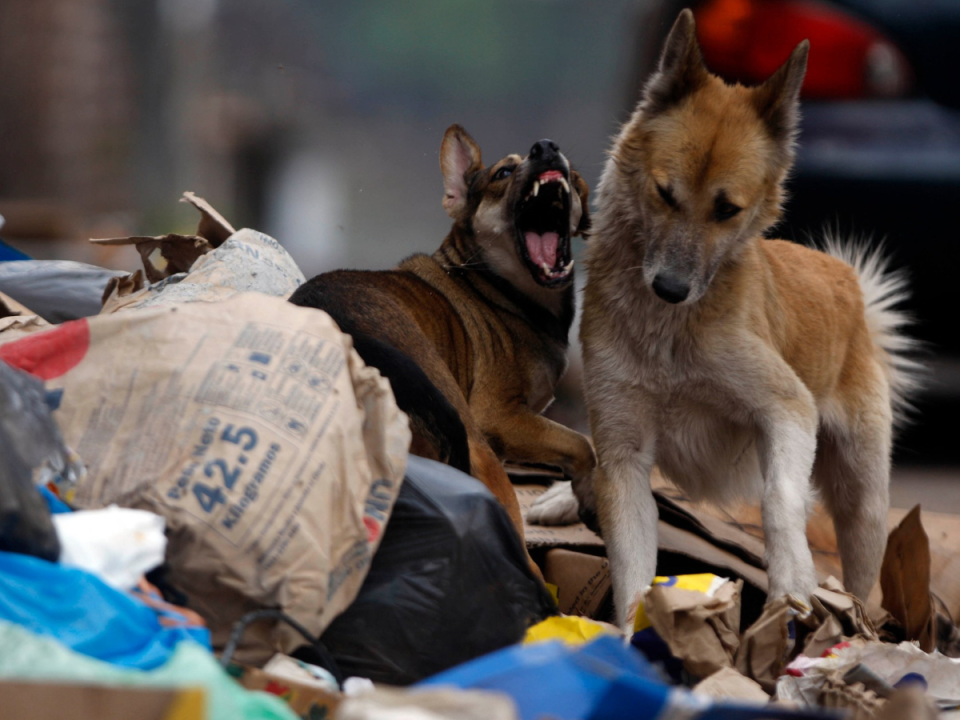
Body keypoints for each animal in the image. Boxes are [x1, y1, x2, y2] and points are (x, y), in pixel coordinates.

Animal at [288, 125, 596, 568]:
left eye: (571, 174)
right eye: (503, 173)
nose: (546, 147)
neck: (494, 286)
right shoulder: (497, 418)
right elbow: (582, 444)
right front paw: (585, 496)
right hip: (476, 448)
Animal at [528, 8, 920, 628]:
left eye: (727, 209)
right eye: (664, 194)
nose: (670, 289)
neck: (670, 335)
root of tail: (847, 283)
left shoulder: (786, 408)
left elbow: (780, 500)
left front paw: (793, 588)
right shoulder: (626, 447)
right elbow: (631, 565)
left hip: (862, 495)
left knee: (859, 564)